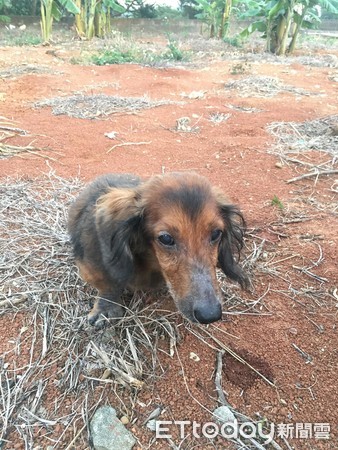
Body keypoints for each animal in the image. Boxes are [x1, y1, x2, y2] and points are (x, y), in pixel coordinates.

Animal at [68, 172, 248, 326]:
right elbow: (108, 284)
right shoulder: (91, 267)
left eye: (216, 233)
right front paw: (105, 308)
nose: (210, 314)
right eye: (166, 238)